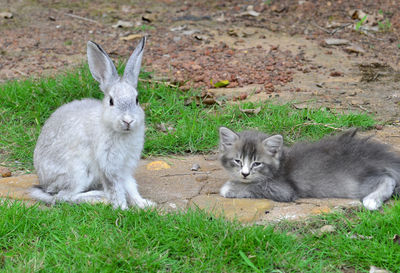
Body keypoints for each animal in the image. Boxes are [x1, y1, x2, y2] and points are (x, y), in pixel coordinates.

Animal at [30, 36, 153, 208]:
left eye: (136, 100)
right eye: (111, 101)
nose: (128, 120)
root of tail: (43, 181)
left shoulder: (125, 167)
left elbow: (130, 186)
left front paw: (143, 204)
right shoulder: (107, 165)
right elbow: (115, 188)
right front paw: (122, 208)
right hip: (77, 173)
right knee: (63, 197)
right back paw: (99, 198)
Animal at [219, 126, 400, 209]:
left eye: (257, 163)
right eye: (238, 161)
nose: (245, 174)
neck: (280, 163)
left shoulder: (282, 190)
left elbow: (255, 186)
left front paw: (229, 187)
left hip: (356, 183)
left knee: (387, 179)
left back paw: (372, 200)